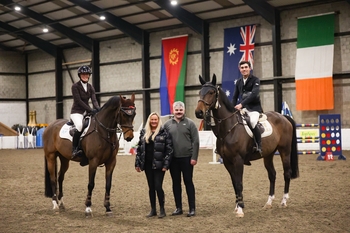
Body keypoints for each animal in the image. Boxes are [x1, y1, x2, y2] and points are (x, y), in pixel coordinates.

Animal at [194, 74, 298, 217]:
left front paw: (240, 209)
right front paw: (237, 206)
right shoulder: (227, 161)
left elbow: (239, 184)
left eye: (211, 92)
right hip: (268, 154)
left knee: (287, 173)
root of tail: (283, 117)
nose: (198, 112)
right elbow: (234, 183)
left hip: (285, 151)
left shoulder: (238, 160)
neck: (229, 128)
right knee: (272, 174)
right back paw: (268, 203)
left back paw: (283, 201)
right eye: (199, 92)